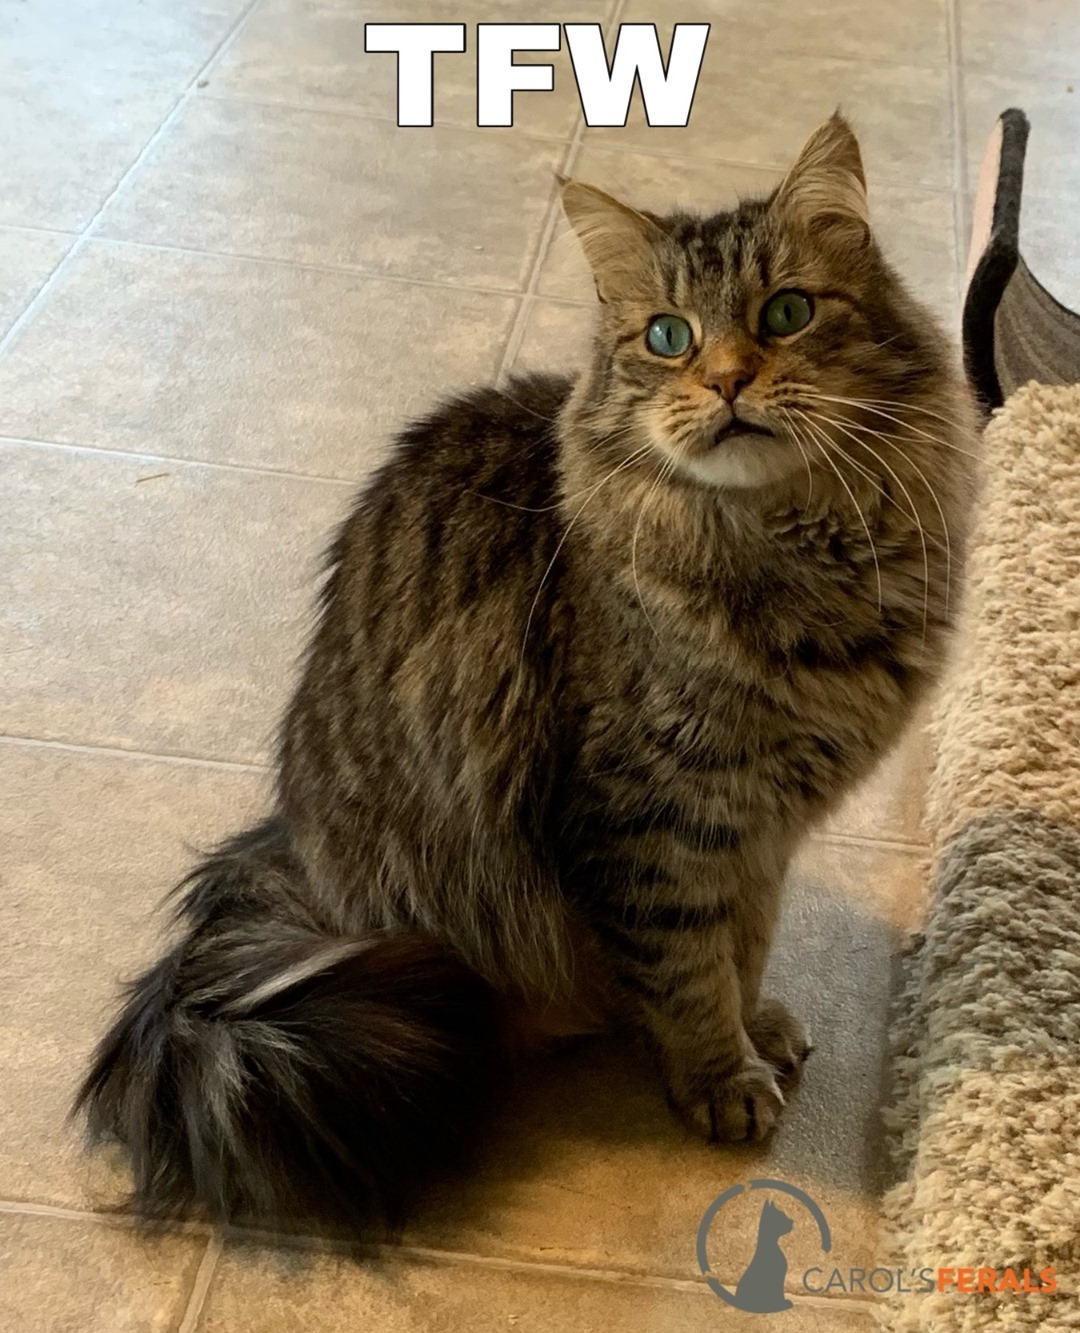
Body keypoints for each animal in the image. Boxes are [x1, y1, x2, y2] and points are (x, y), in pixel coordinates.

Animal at [78, 114, 976, 1226]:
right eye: (668, 337)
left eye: (787, 312)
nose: (727, 380)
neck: (797, 555)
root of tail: (302, 866)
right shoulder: (653, 816)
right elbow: (688, 967)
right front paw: (720, 1074)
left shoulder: (760, 828)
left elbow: (745, 940)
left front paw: (753, 1022)